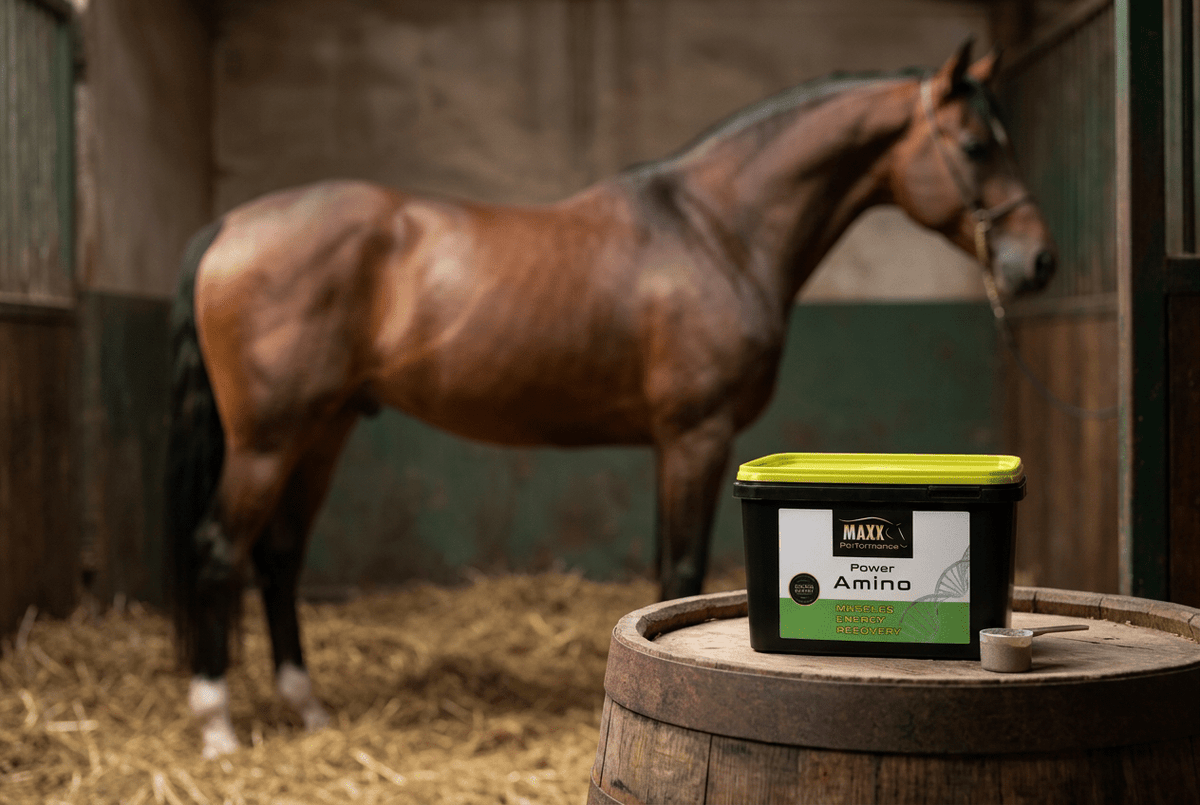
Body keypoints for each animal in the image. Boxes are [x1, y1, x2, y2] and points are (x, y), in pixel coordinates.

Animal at [166, 41, 1056, 757]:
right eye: (975, 145)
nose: (1037, 262)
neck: (716, 231)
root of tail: (230, 226)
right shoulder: (695, 436)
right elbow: (680, 566)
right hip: (269, 438)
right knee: (218, 549)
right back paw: (217, 725)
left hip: (323, 429)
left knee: (279, 556)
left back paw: (306, 707)